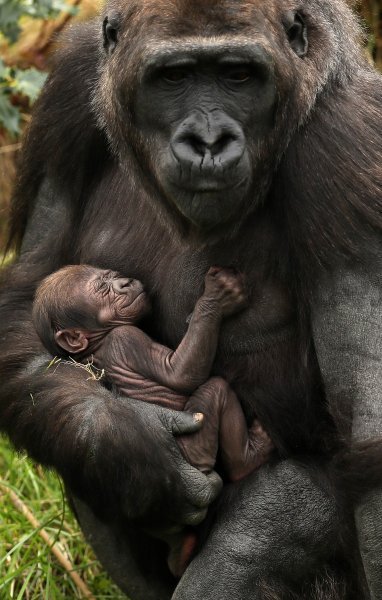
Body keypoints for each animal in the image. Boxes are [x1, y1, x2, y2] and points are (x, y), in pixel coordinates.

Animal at [32, 264, 272, 576]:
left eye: (110, 275)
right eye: (103, 287)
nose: (124, 282)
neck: (96, 343)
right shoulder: (126, 339)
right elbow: (180, 374)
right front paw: (216, 299)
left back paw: (177, 549)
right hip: (195, 451)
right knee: (215, 390)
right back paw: (248, 461)